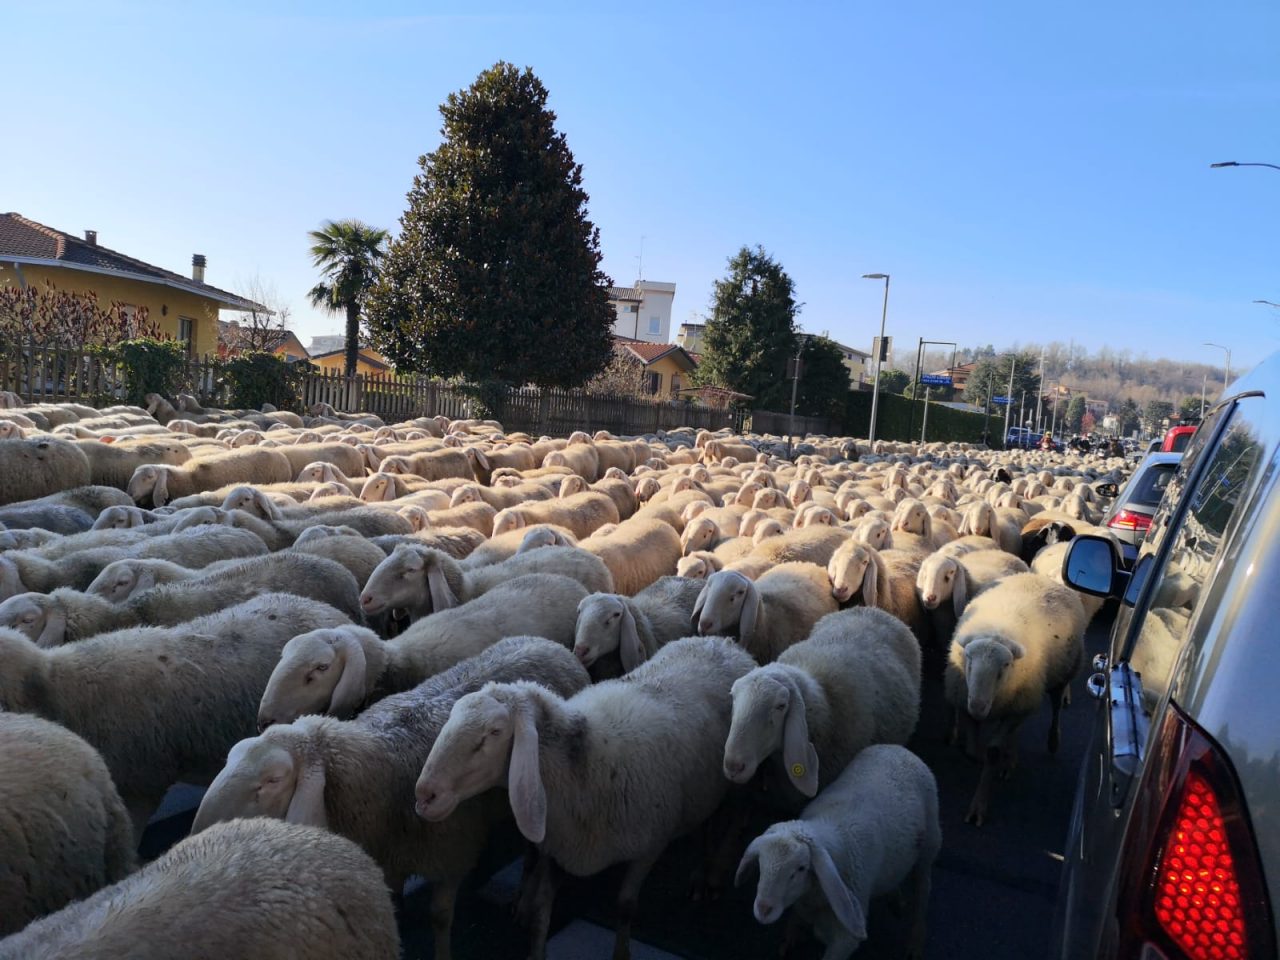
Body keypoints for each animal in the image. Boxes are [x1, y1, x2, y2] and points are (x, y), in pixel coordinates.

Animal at [194, 637, 588, 960]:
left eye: (273, 779)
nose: (200, 832)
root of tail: (550, 644)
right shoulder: (390, 854)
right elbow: (395, 904)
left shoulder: (449, 852)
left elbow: (440, 918)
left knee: (536, 849)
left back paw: (525, 898)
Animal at [414, 636, 757, 960]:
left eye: (494, 732)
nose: (424, 795)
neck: (582, 765)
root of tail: (722, 642)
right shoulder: (559, 849)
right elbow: (540, 913)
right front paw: (535, 949)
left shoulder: (650, 845)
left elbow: (625, 906)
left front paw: (621, 953)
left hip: (738, 775)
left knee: (733, 816)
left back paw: (712, 873)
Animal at [736, 744, 940, 960]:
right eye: (761, 864)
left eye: (800, 869)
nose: (763, 909)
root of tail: (898, 748)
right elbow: (796, 919)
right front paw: (791, 936)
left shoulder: (844, 940)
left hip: (930, 843)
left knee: (923, 890)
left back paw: (916, 941)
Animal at [944, 572, 1086, 825]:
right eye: (968, 661)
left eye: (1005, 667)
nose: (978, 706)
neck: (996, 632)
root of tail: (1035, 576)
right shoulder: (964, 697)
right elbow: (973, 748)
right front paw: (977, 756)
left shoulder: (1013, 703)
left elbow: (993, 751)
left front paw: (979, 806)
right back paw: (1010, 758)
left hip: (1062, 674)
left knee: (1056, 707)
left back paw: (1052, 741)